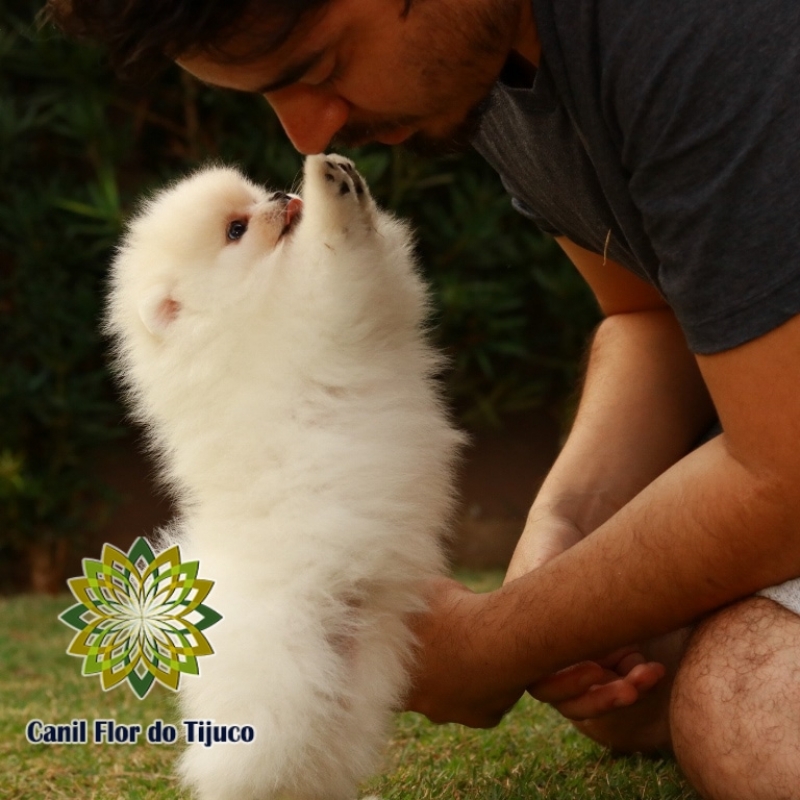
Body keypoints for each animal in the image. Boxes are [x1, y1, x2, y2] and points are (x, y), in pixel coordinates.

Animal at [108, 153, 468, 796]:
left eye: (252, 197)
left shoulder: (373, 300)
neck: (234, 311)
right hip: (278, 686)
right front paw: (330, 196)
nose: (279, 196)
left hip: (352, 695)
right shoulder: (315, 307)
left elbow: (376, 262)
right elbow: (331, 262)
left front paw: (349, 187)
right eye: (235, 230)